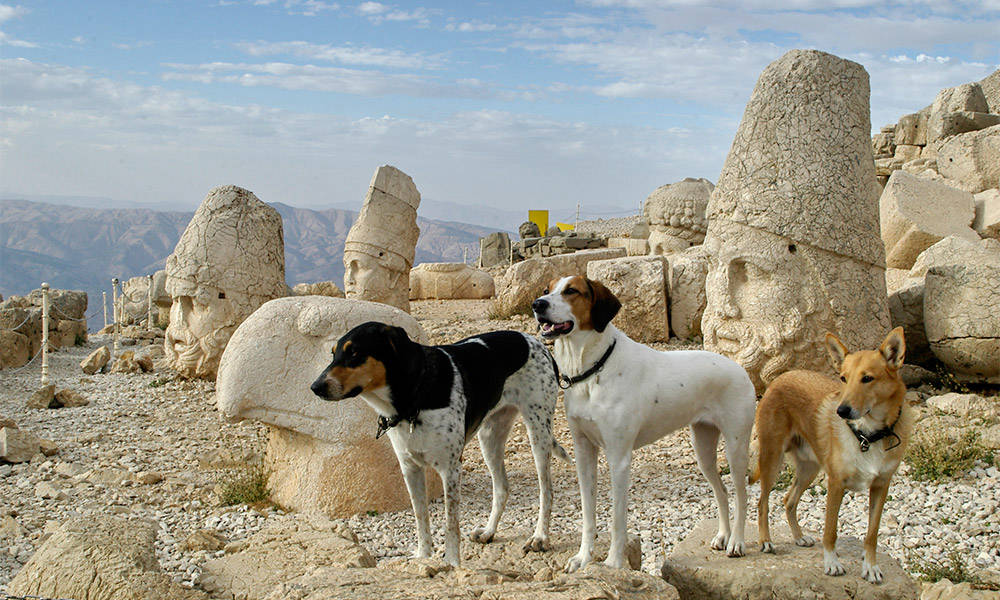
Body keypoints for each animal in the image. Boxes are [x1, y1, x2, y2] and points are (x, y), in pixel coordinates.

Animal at [308, 322, 568, 564]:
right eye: (333, 354)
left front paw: (452, 562)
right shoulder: (410, 469)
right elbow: (420, 516)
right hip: (490, 437)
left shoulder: (450, 470)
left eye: (354, 353)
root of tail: (533, 340)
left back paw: (540, 537)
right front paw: (423, 555)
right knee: (502, 488)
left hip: (538, 433)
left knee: (547, 491)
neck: (413, 399)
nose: (315, 387)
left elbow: (451, 523)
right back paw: (489, 532)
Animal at [532, 276, 752, 572]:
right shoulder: (584, 452)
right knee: (722, 491)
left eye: (571, 291)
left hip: (736, 448)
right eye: (547, 290)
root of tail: (739, 368)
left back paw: (737, 542)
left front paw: (613, 564)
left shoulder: (619, 458)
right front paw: (583, 557)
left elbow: (617, 520)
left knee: (741, 494)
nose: (537, 304)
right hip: (703, 450)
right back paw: (722, 536)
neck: (594, 370)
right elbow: (589, 515)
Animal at [752, 326, 916, 584]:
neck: (868, 435)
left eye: (867, 378)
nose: (841, 411)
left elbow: (872, 534)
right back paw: (766, 541)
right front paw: (832, 563)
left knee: (789, 500)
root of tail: (781, 377)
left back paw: (799, 536)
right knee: (763, 502)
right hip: (772, 460)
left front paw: (870, 567)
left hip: (809, 469)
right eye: (843, 378)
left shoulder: (881, 486)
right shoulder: (836, 484)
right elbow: (830, 530)